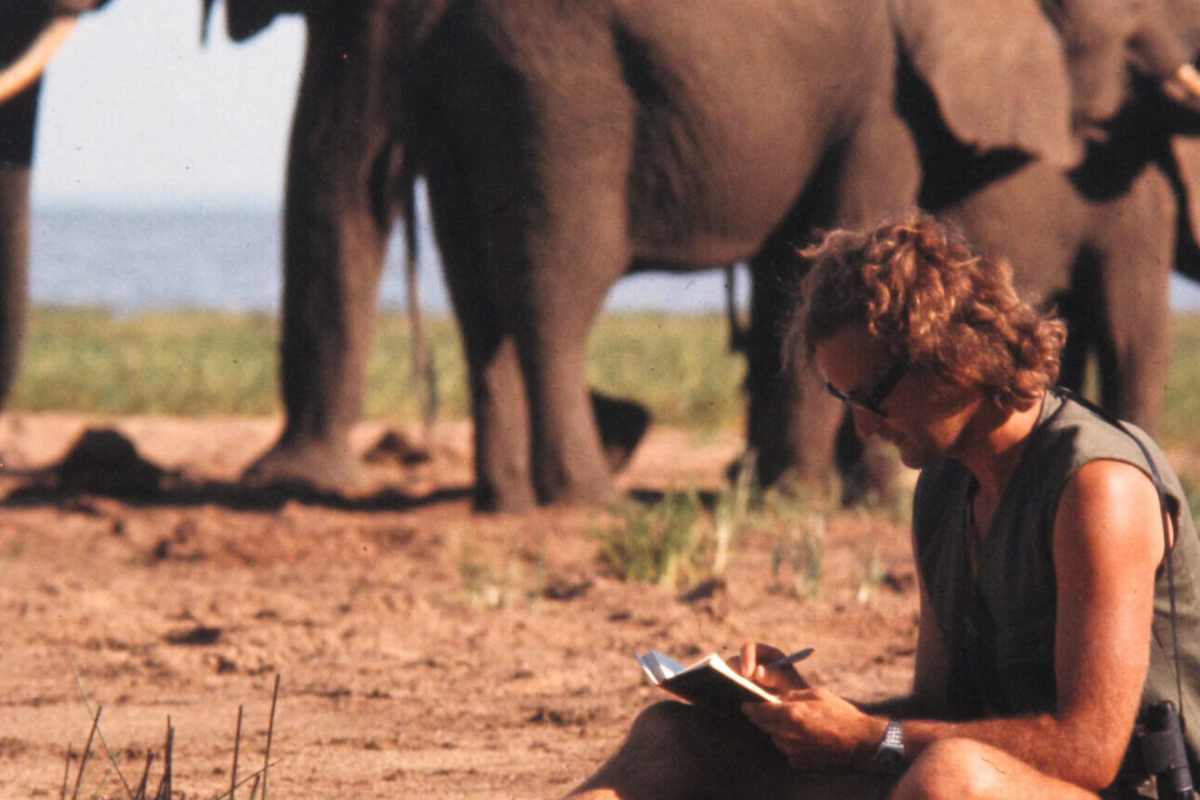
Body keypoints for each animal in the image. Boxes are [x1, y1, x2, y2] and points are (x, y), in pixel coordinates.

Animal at [213, 0, 1086, 512]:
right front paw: (798, 501)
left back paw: (509, 502)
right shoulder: (883, 102)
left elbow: (793, 275)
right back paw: (588, 499)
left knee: (479, 305)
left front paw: (782, 494)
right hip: (559, 95)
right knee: (555, 290)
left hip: (472, 110)